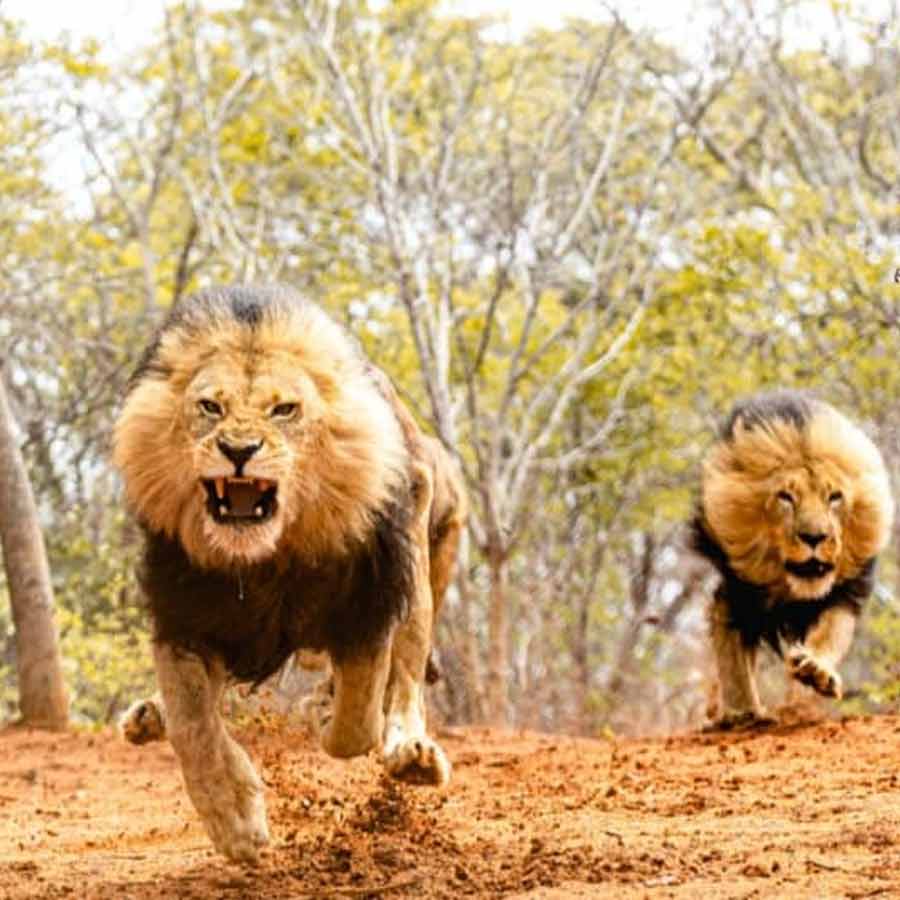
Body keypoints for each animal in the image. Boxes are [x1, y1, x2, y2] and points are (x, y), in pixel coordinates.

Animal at [112, 285, 466, 862]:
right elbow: (193, 726)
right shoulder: (185, 612)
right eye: (210, 406)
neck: (267, 558)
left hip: (418, 568)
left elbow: (356, 720)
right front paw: (235, 820)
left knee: (406, 682)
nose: (238, 451)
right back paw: (150, 716)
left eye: (284, 410)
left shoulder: (369, 603)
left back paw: (409, 753)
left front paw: (323, 712)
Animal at [691, 390, 893, 730]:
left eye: (834, 497)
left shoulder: (845, 591)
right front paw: (742, 713)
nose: (814, 537)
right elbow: (732, 657)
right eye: (786, 497)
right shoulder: (738, 591)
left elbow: (831, 631)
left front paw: (816, 671)